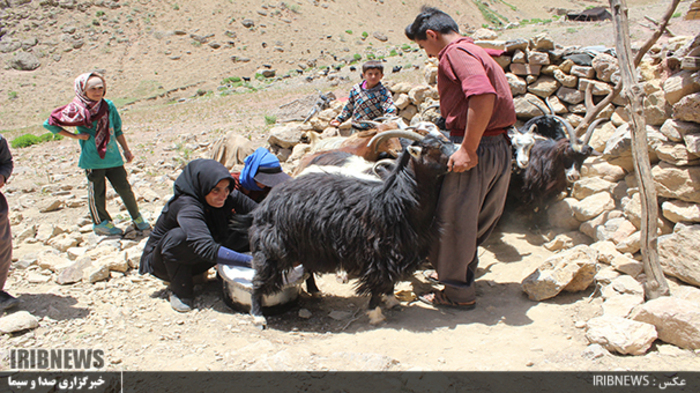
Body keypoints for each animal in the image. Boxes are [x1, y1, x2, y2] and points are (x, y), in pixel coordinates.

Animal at [245, 133, 454, 326]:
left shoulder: (398, 251)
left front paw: (392, 300)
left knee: (306, 267)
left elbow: (389, 280)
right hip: (273, 247)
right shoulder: (379, 252)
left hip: (305, 243)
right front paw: (376, 313)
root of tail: (269, 200)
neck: (395, 200)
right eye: (436, 147)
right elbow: (378, 282)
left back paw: (315, 291)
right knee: (258, 280)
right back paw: (258, 316)